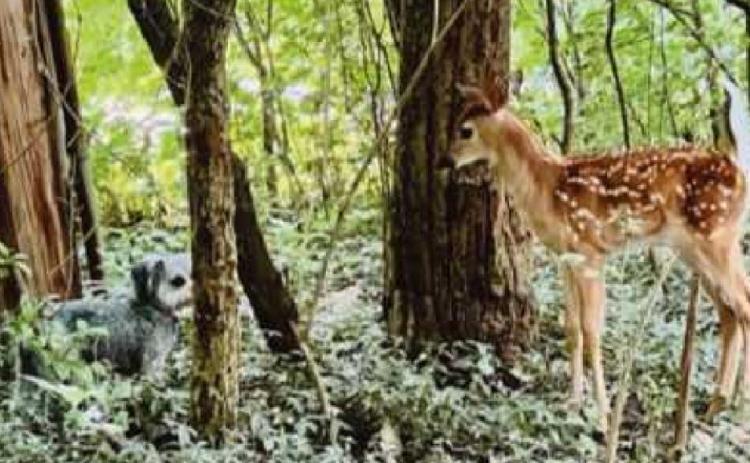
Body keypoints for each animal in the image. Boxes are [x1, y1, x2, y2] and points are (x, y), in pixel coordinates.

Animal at [438, 77, 750, 433]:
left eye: (465, 130)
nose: (443, 161)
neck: (546, 186)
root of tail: (739, 169)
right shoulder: (565, 258)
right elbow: (572, 329)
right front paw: (573, 404)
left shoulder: (591, 252)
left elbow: (592, 330)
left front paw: (602, 416)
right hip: (693, 248)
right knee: (729, 313)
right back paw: (716, 407)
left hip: (717, 237)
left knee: (744, 305)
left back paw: (739, 410)